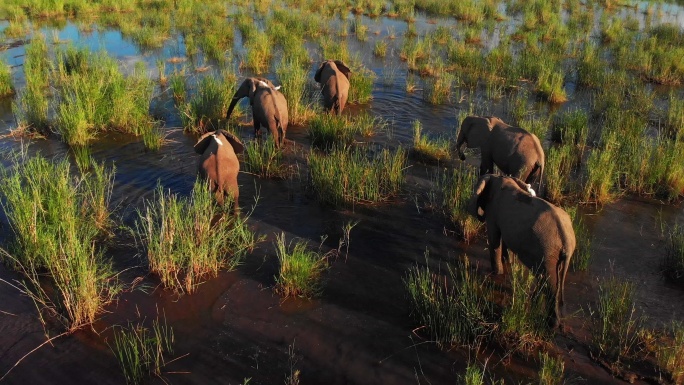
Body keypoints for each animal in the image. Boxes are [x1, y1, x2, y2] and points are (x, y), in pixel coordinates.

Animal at [468, 174, 576, 328]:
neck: (501, 178)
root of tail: (566, 238)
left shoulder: (494, 211)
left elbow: (494, 241)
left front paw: (496, 274)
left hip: (547, 251)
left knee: (550, 283)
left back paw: (551, 324)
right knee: (554, 278)